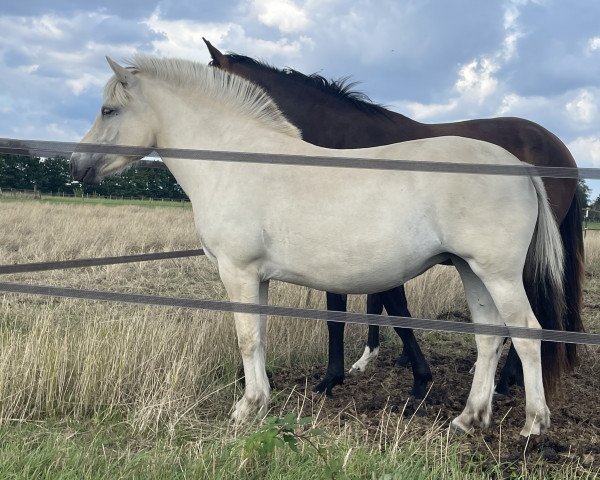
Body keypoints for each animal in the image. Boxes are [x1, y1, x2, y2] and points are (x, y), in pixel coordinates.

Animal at [72, 56, 564, 436]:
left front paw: (246, 409)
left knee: (527, 334)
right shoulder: (257, 277)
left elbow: (247, 338)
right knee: (489, 337)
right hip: (469, 269)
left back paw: (533, 425)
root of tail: (520, 167)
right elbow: (259, 336)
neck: (237, 160)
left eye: (109, 110)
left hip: (498, 274)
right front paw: (261, 402)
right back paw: (469, 418)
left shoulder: (237, 271)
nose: (77, 166)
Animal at [204, 38, 584, 398]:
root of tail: (559, 149)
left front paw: (355, 379)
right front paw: (355, 369)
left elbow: (385, 311)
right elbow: (365, 309)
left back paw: (503, 382)